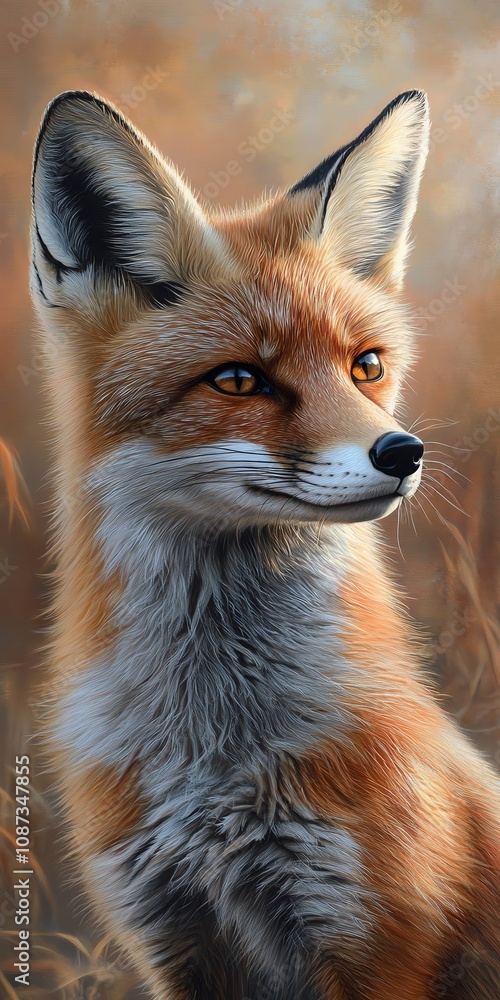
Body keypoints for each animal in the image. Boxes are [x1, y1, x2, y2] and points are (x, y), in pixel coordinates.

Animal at [30, 88, 500, 999]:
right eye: (240, 380)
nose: (403, 453)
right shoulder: (175, 940)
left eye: (366, 366)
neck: (214, 750)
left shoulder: (377, 941)